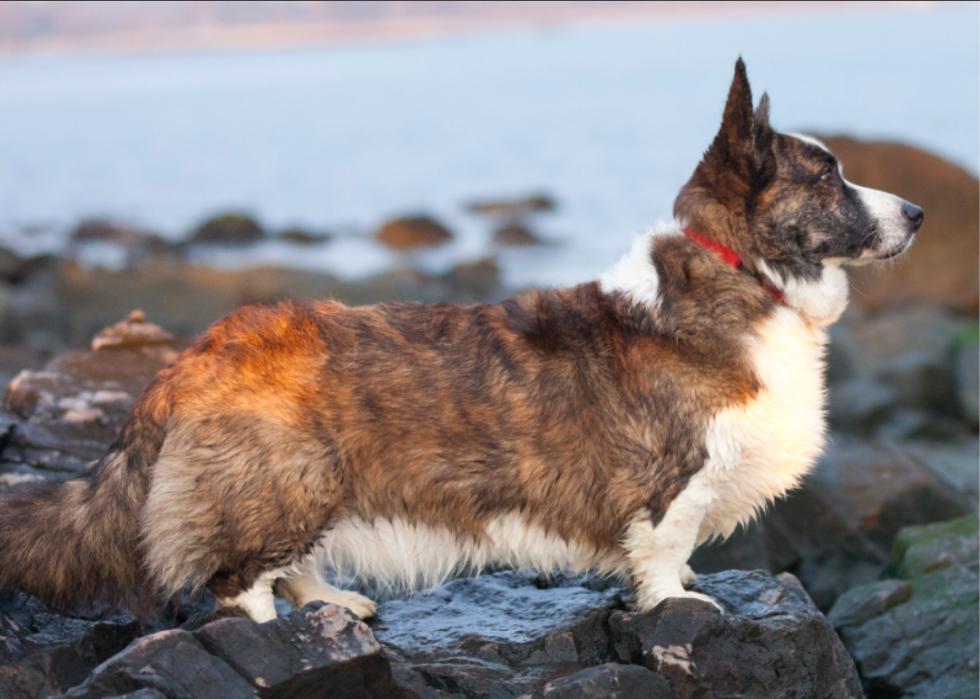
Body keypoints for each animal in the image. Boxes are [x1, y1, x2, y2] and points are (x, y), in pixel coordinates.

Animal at [0, 57, 920, 620]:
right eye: (828, 174)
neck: (740, 274)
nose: (916, 212)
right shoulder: (673, 480)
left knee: (289, 564)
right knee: (238, 577)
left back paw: (333, 602)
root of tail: (195, 352)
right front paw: (676, 601)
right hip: (291, 479)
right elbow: (663, 549)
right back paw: (271, 627)